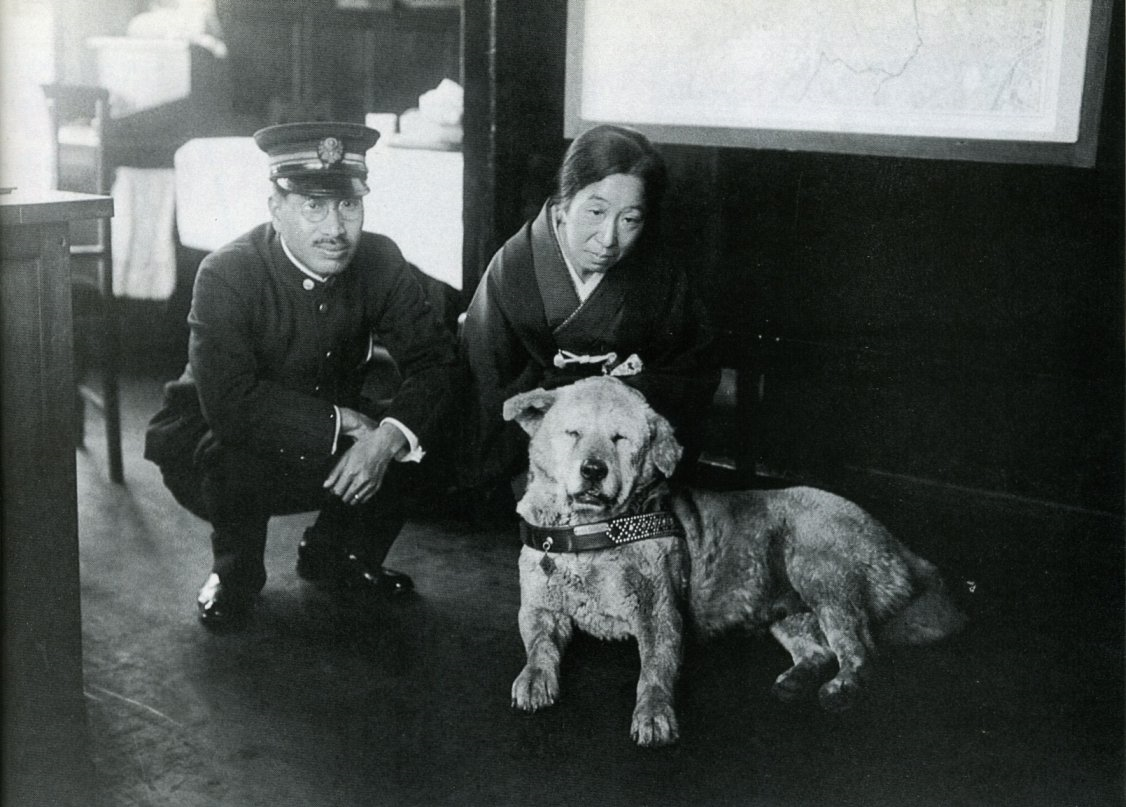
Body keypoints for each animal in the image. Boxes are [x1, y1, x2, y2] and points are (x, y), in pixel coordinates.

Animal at [504, 373, 968, 747]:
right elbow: (539, 645)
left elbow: (654, 671)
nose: (593, 470)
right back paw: (797, 680)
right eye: (572, 432)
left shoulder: (661, 616)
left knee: (861, 649)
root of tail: (899, 545)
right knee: (818, 650)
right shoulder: (539, 609)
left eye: (621, 438)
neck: (591, 534)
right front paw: (534, 678)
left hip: (820, 568)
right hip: (789, 611)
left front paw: (654, 714)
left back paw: (843, 688)